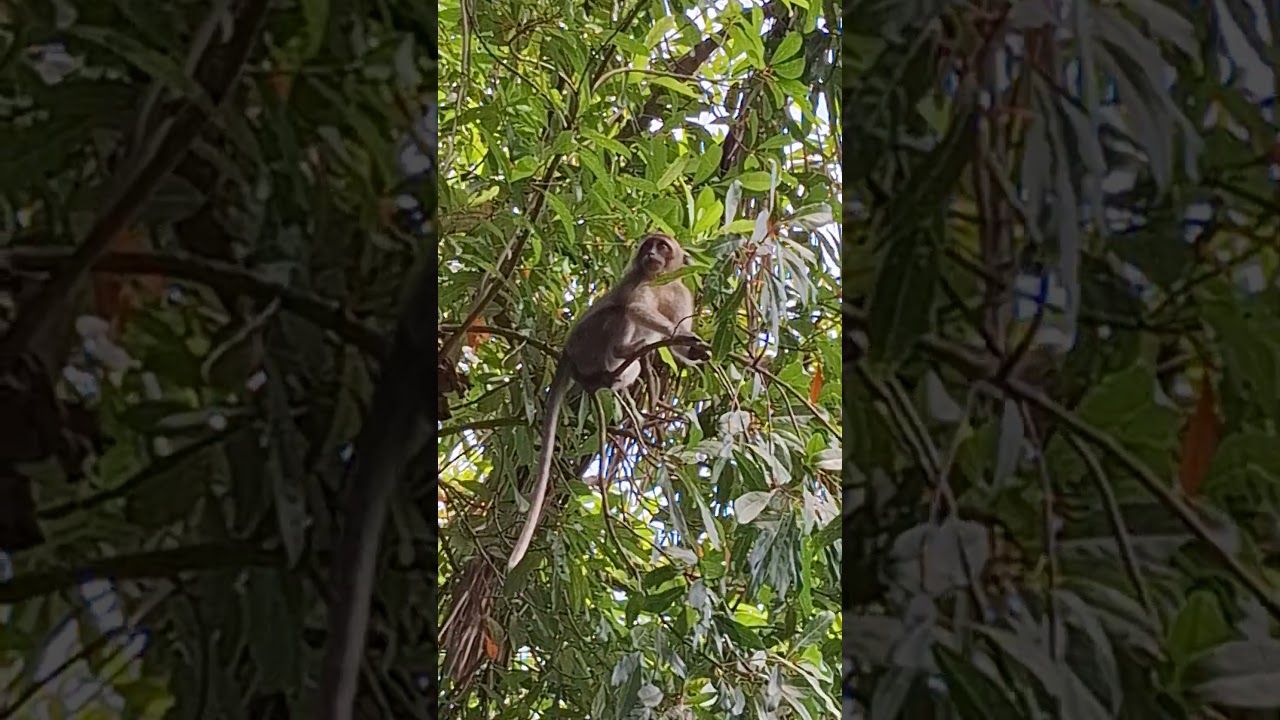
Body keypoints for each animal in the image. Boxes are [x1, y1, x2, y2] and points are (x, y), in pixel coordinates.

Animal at [507, 232, 709, 571]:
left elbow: (678, 343)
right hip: (587, 341)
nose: (650, 253)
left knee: (634, 365)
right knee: (619, 313)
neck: (661, 280)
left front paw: (692, 349)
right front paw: (680, 337)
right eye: (649, 245)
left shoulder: (681, 292)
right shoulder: (641, 282)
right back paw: (624, 350)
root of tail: (568, 353)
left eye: (662, 246)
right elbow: (637, 307)